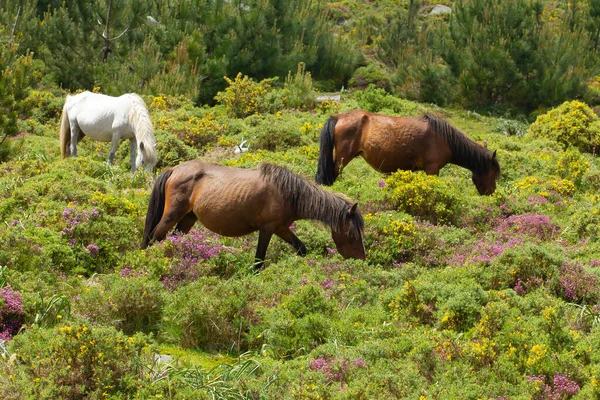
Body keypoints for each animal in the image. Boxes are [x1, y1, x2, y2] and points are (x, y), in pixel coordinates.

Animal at [141, 161, 366, 270]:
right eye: (353, 235)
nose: (361, 261)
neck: (287, 193)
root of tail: (174, 169)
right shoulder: (267, 229)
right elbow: (259, 260)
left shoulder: (281, 229)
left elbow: (301, 249)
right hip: (171, 216)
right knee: (154, 237)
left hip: (188, 218)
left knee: (173, 240)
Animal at [316, 109, 500, 194]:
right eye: (493, 173)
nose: (491, 194)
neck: (444, 138)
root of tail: (338, 117)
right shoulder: (432, 169)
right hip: (342, 158)